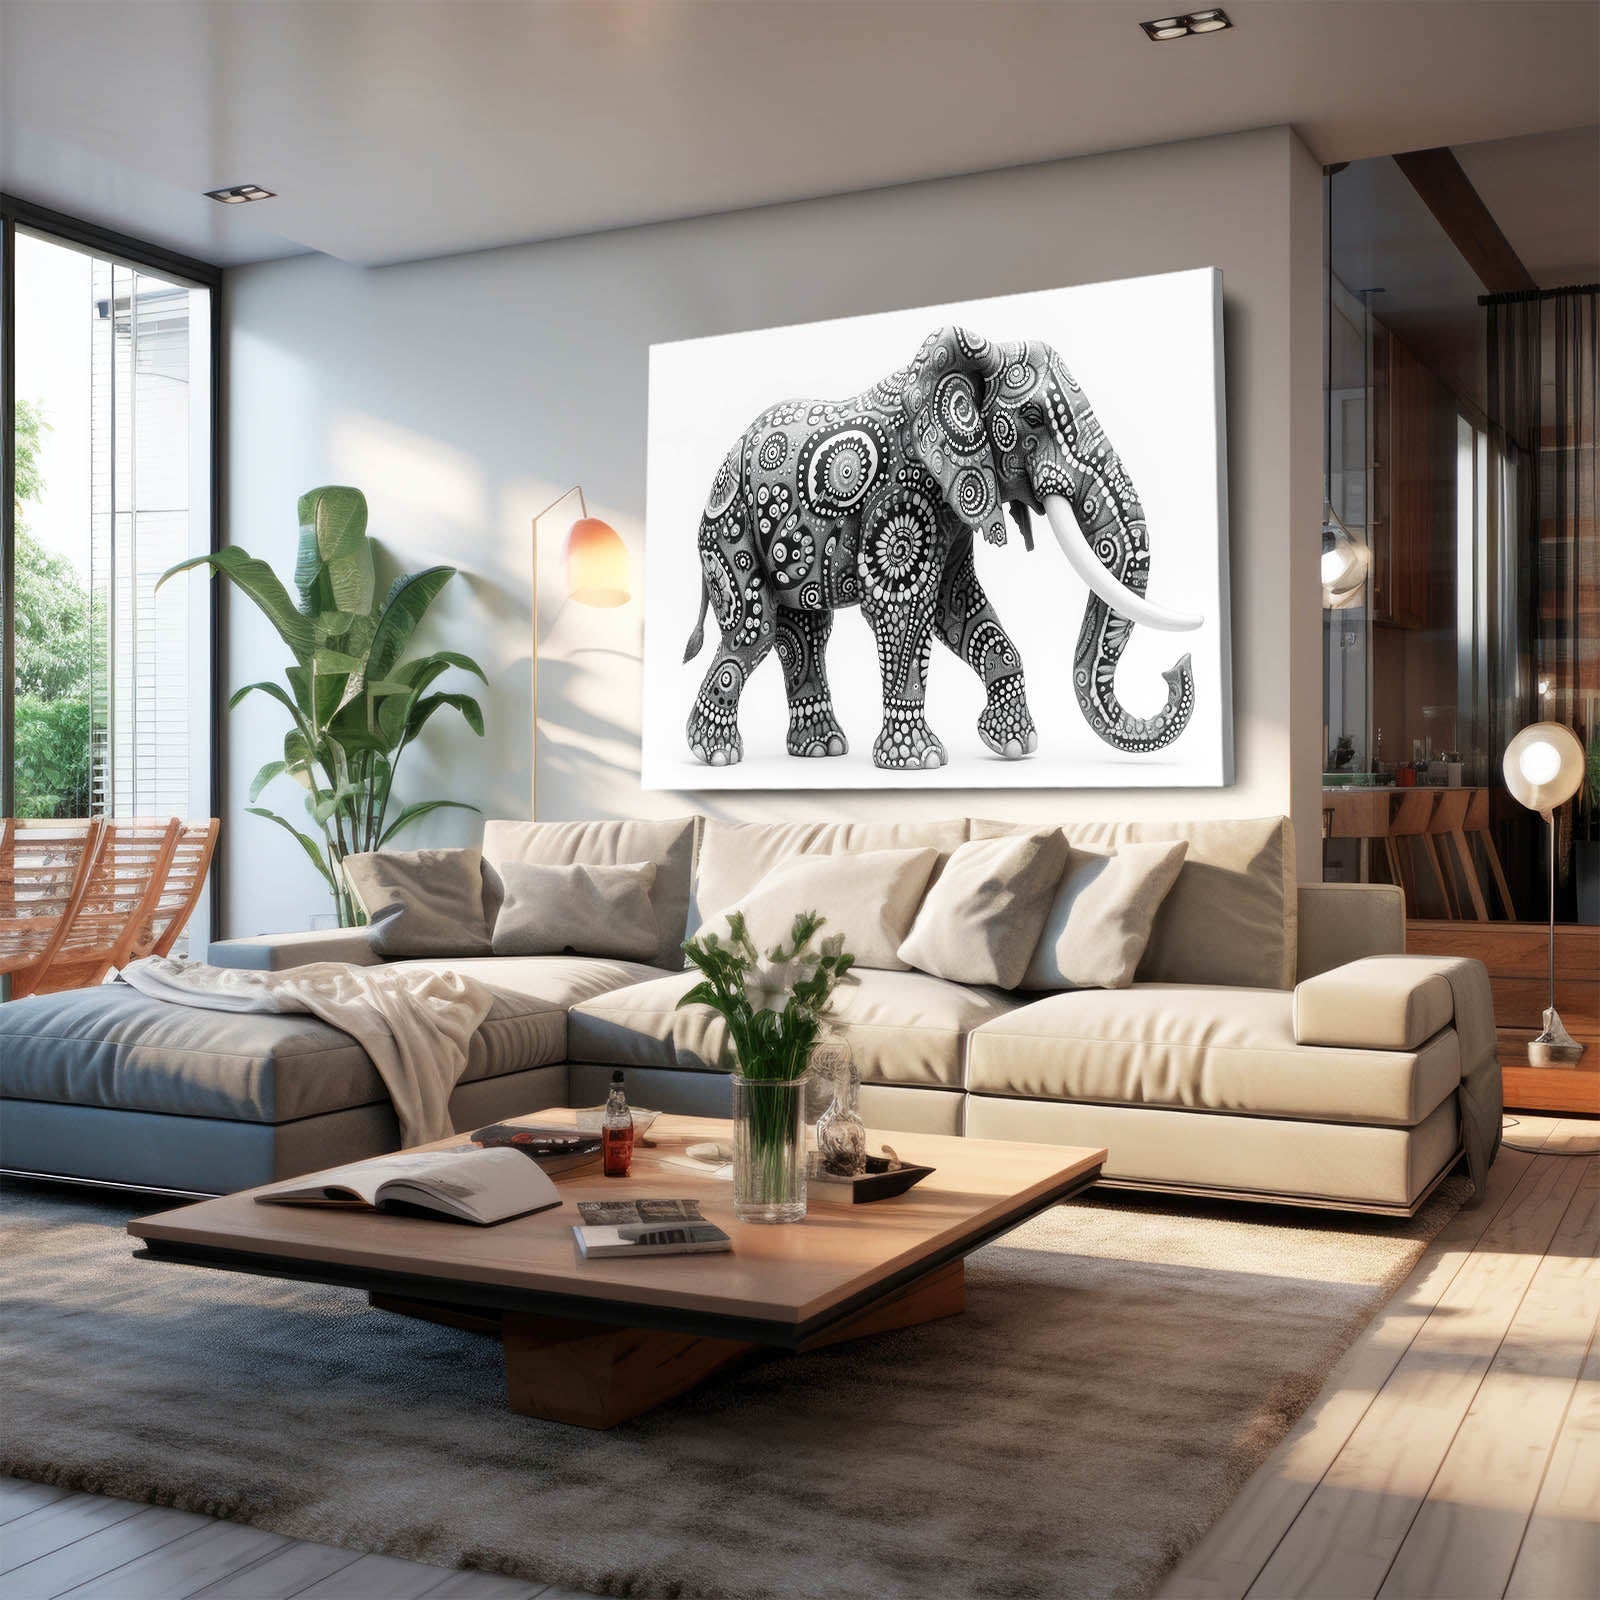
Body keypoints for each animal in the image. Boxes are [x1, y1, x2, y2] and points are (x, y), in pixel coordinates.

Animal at [682, 324, 1203, 770]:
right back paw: (717, 755)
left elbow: (955, 607)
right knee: (756, 629)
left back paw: (820, 749)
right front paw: (920, 761)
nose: (1175, 668)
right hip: (728, 527)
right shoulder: (903, 496)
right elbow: (904, 610)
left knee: (805, 629)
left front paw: (1015, 745)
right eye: (1033, 417)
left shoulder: (953, 504)